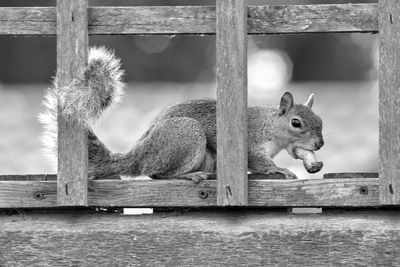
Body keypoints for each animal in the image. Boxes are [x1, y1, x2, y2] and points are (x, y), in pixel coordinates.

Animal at [39, 47, 324, 182]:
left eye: (320, 122)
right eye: (296, 123)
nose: (320, 144)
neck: (270, 127)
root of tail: (139, 155)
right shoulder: (250, 142)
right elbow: (259, 162)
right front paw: (280, 170)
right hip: (186, 134)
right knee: (156, 173)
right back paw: (189, 175)